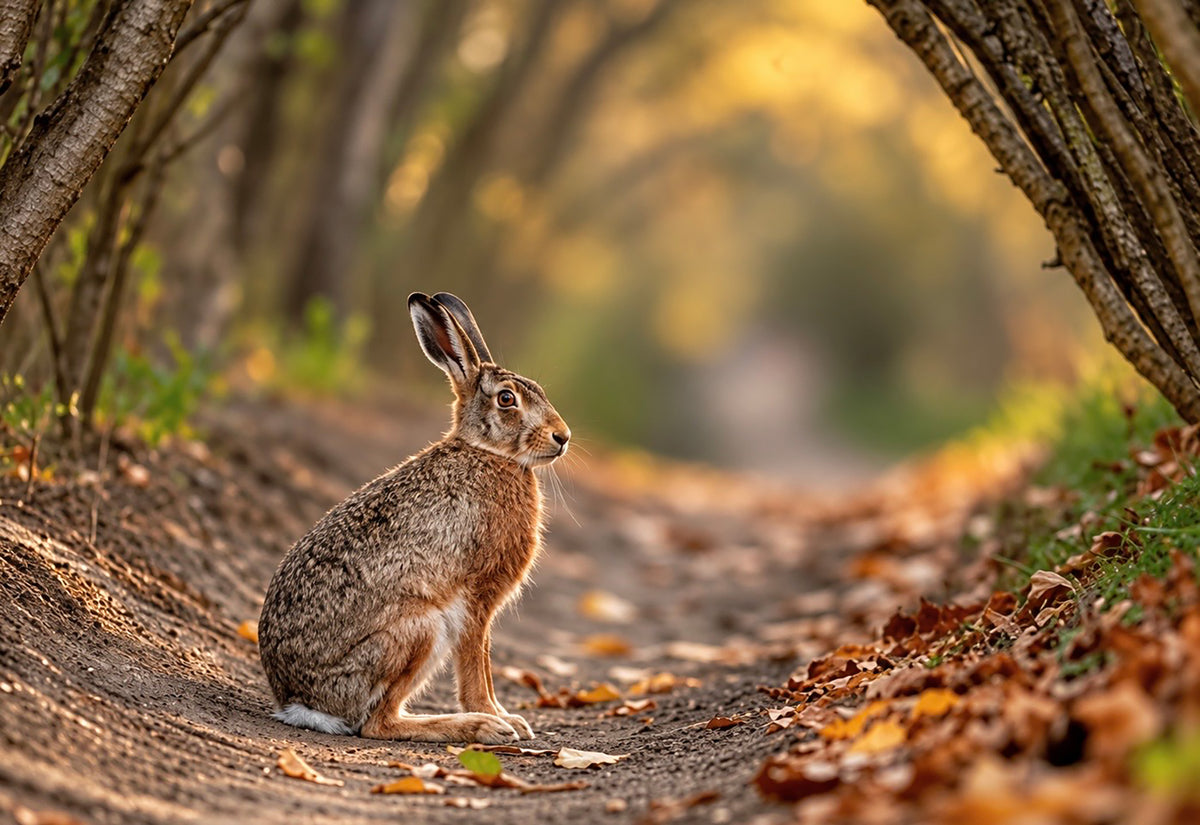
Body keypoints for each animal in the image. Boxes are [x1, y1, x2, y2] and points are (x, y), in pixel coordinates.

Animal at [257, 291, 570, 744]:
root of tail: (302, 703)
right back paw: (475, 726)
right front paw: (499, 719)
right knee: (377, 724)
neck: (488, 453)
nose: (562, 437)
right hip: (420, 629)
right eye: (507, 399)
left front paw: (508, 718)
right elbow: (477, 663)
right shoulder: (476, 599)